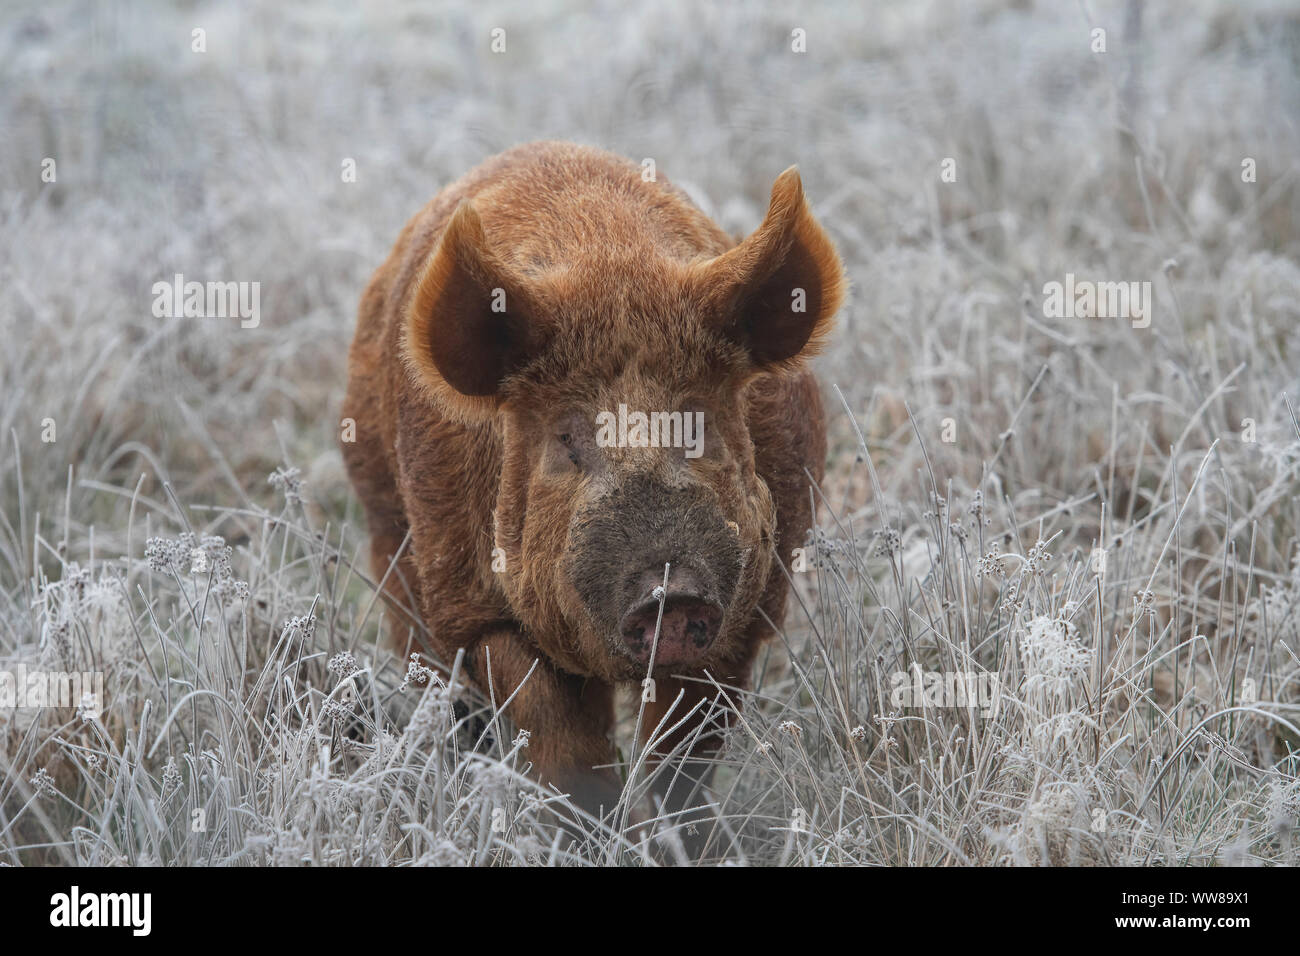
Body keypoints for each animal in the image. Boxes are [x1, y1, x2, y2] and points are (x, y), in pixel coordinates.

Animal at [338, 141, 842, 832]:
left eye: (698, 424)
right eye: (566, 438)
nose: (669, 591)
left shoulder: (754, 599)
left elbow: (683, 749)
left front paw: (679, 838)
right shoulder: (473, 607)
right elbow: (560, 738)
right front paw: (588, 834)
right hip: (388, 528)